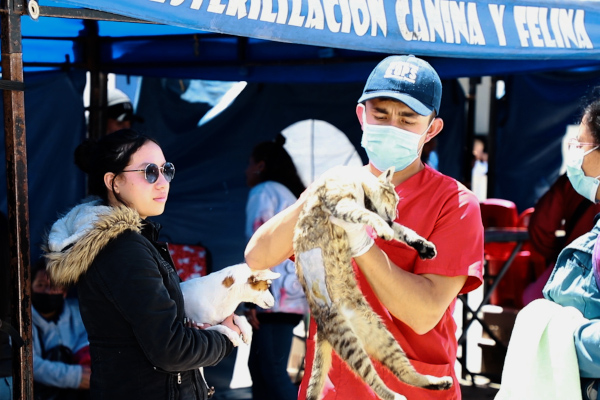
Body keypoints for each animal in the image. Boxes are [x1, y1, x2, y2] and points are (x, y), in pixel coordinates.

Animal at [292, 165, 452, 400]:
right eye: (395, 199)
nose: (395, 212)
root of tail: (323, 328)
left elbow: (402, 230)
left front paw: (423, 245)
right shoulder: (340, 203)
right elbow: (368, 216)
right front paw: (384, 228)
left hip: (382, 335)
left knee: (404, 372)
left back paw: (437, 382)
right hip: (348, 340)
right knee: (372, 378)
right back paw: (396, 396)